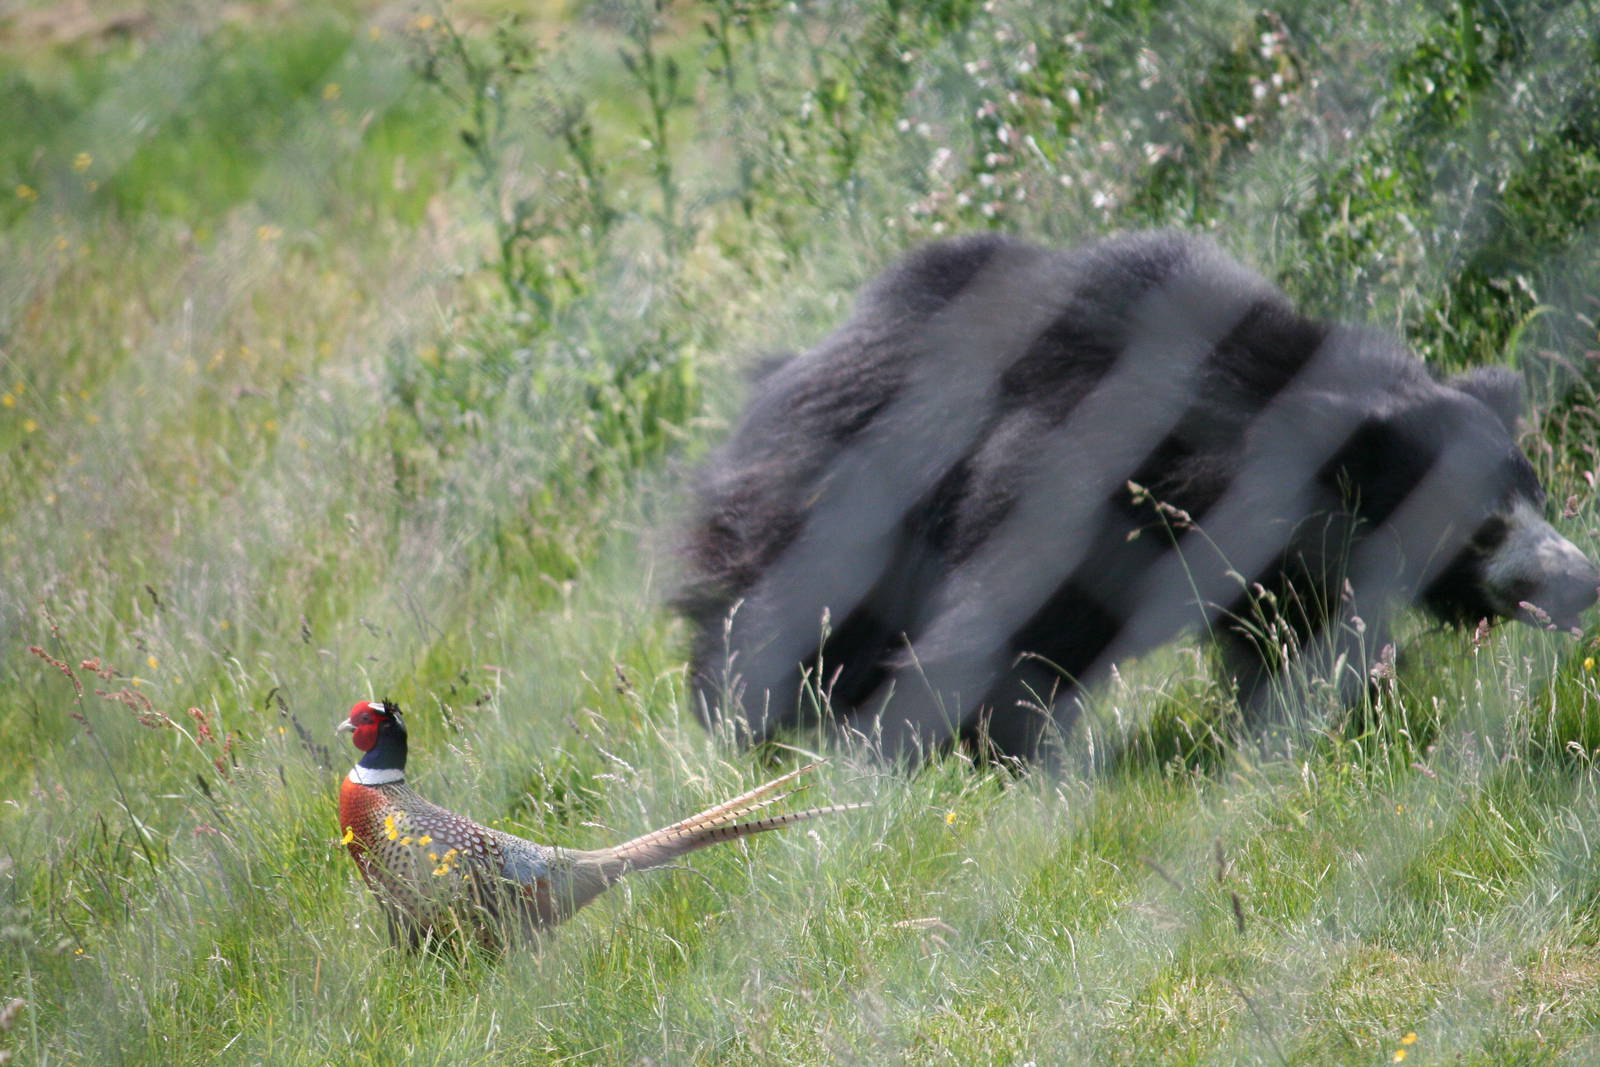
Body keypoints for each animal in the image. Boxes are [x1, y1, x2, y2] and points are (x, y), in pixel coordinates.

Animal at [678, 231, 1599, 761]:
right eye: (1484, 529)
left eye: (1538, 499)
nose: (1582, 579)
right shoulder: (1070, 483)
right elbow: (1006, 622)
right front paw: (992, 751)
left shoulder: (1273, 550)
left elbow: (1296, 634)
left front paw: (1338, 718)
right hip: (842, 507)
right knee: (781, 626)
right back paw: (748, 724)